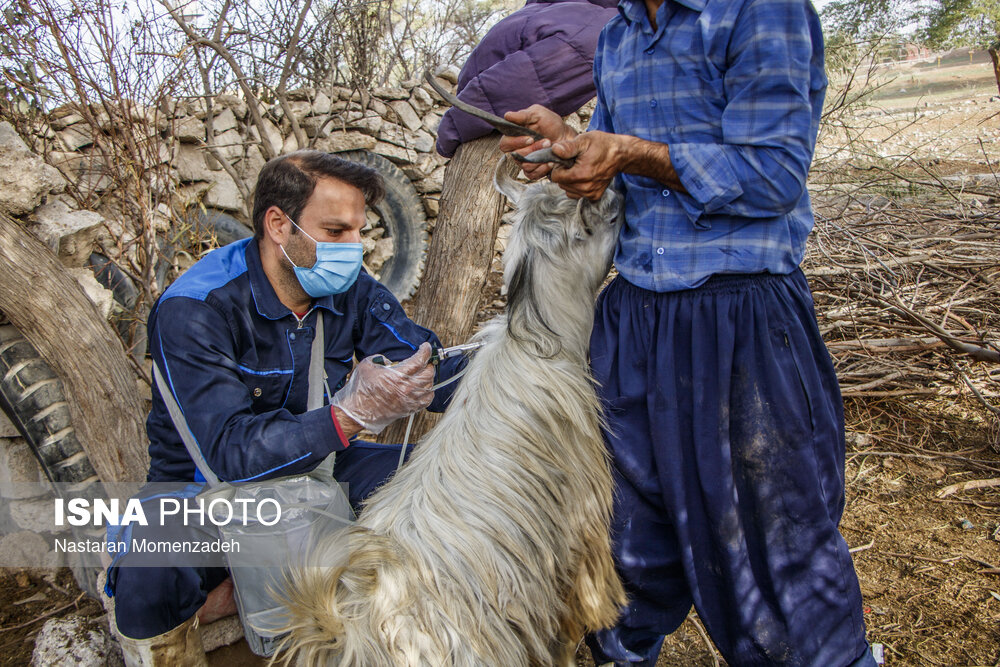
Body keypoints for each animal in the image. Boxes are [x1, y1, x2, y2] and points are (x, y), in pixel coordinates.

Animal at [282, 163, 624, 667]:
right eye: (608, 218)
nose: (622, 191)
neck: (539, 341)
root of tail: (350, 632)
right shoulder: (579, 537)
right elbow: (569, 624)